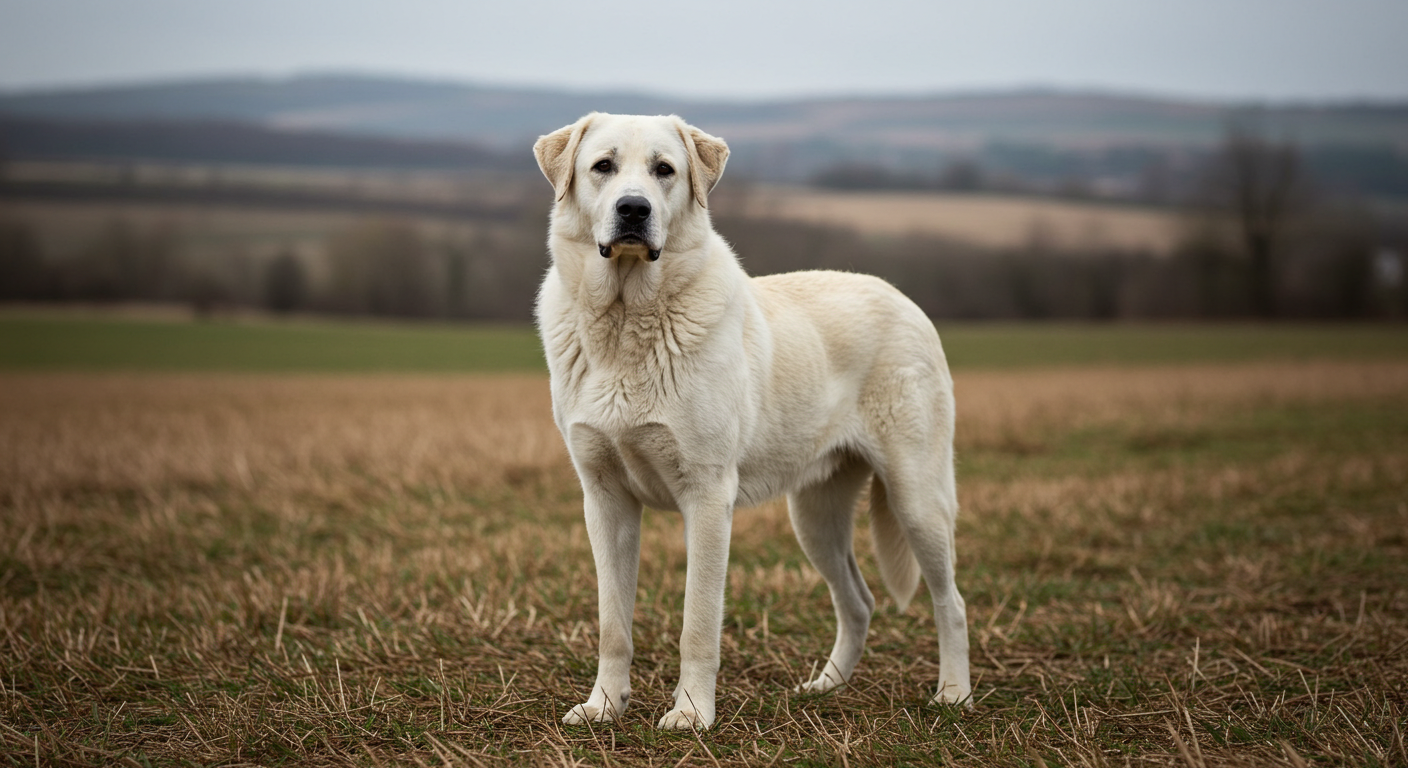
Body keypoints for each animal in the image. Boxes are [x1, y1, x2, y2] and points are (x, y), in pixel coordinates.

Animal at [532, 110, 974, 727]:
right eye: (603, 167)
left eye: (664, 170)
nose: (634, 209)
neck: (626, 319)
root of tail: (904, 299)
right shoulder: (605, 500)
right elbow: (611, 624)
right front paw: (603, 707)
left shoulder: (707, 498)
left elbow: (698, 625)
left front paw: (691, 715)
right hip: (814, 518)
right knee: (858, 602)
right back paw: (825, 687)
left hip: (917, 499)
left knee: (950, 601)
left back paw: (954, 695)